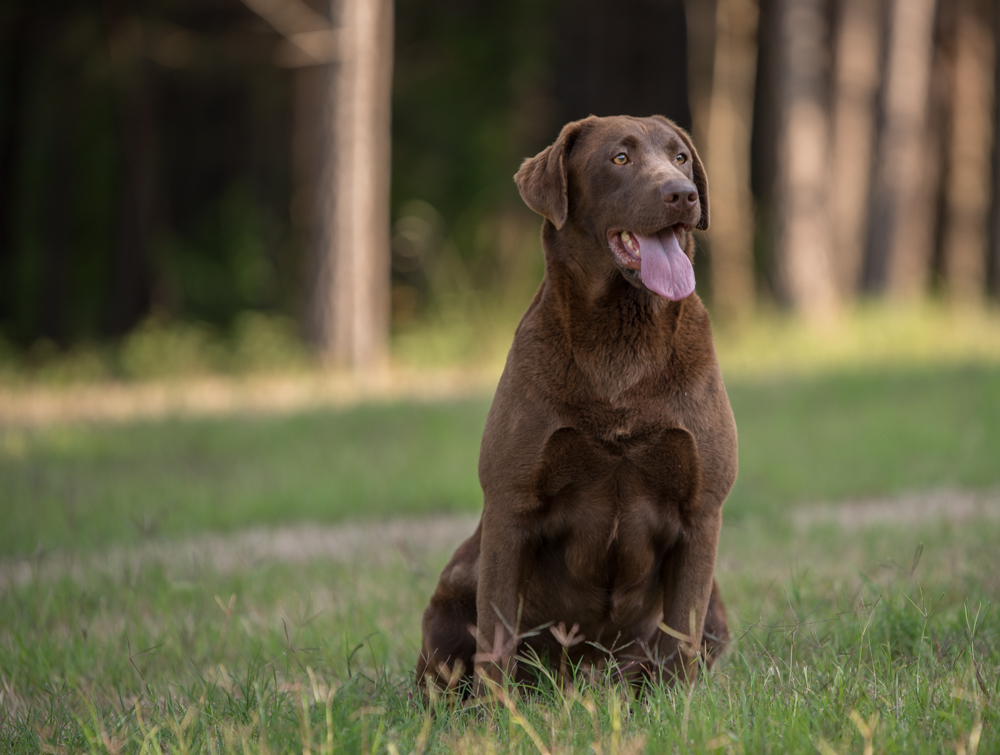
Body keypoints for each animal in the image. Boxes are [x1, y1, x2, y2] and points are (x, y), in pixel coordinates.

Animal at [414, 115, 736, 692]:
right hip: (455, 584)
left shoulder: (703, 510)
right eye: (620, 159)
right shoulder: (510, 506)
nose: (684, 194)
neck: (622, 340)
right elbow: (496, 633)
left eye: (680, 157)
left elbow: (681, 632)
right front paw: (498, 713)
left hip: (717, 604)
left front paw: (680, 703)